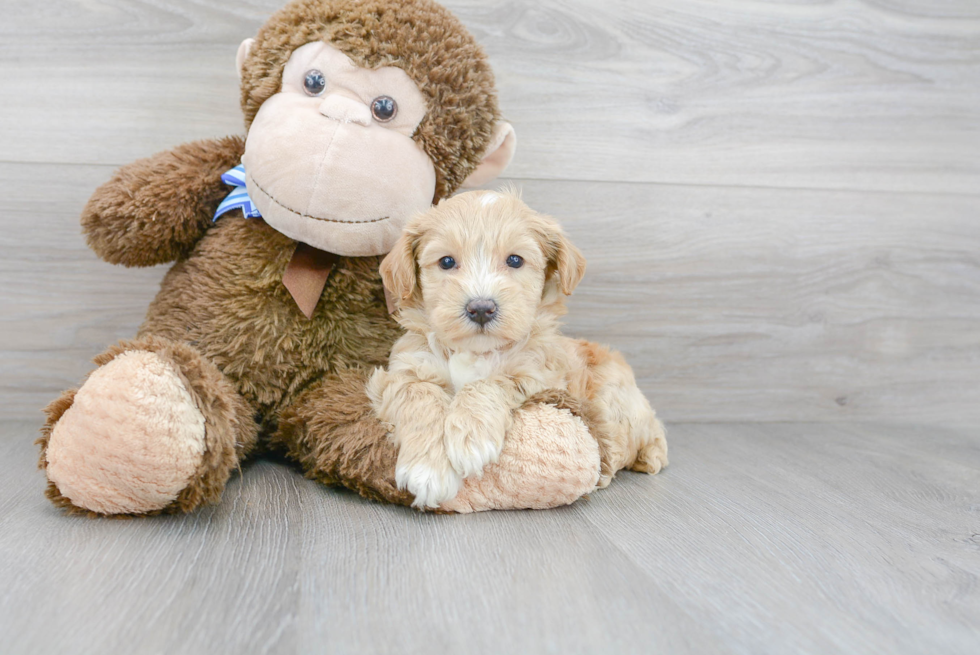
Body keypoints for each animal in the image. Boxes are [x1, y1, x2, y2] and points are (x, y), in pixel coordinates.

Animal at [368, 190, 668, 508]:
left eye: (514, 260)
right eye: (446, 262)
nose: (481, 308)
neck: (476, 352)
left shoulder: (539, 375)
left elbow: (489, 383)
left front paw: (471, 436)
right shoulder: (404, 371)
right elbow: (420, 394)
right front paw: (426, 469)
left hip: (611, 397)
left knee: (622, 442)